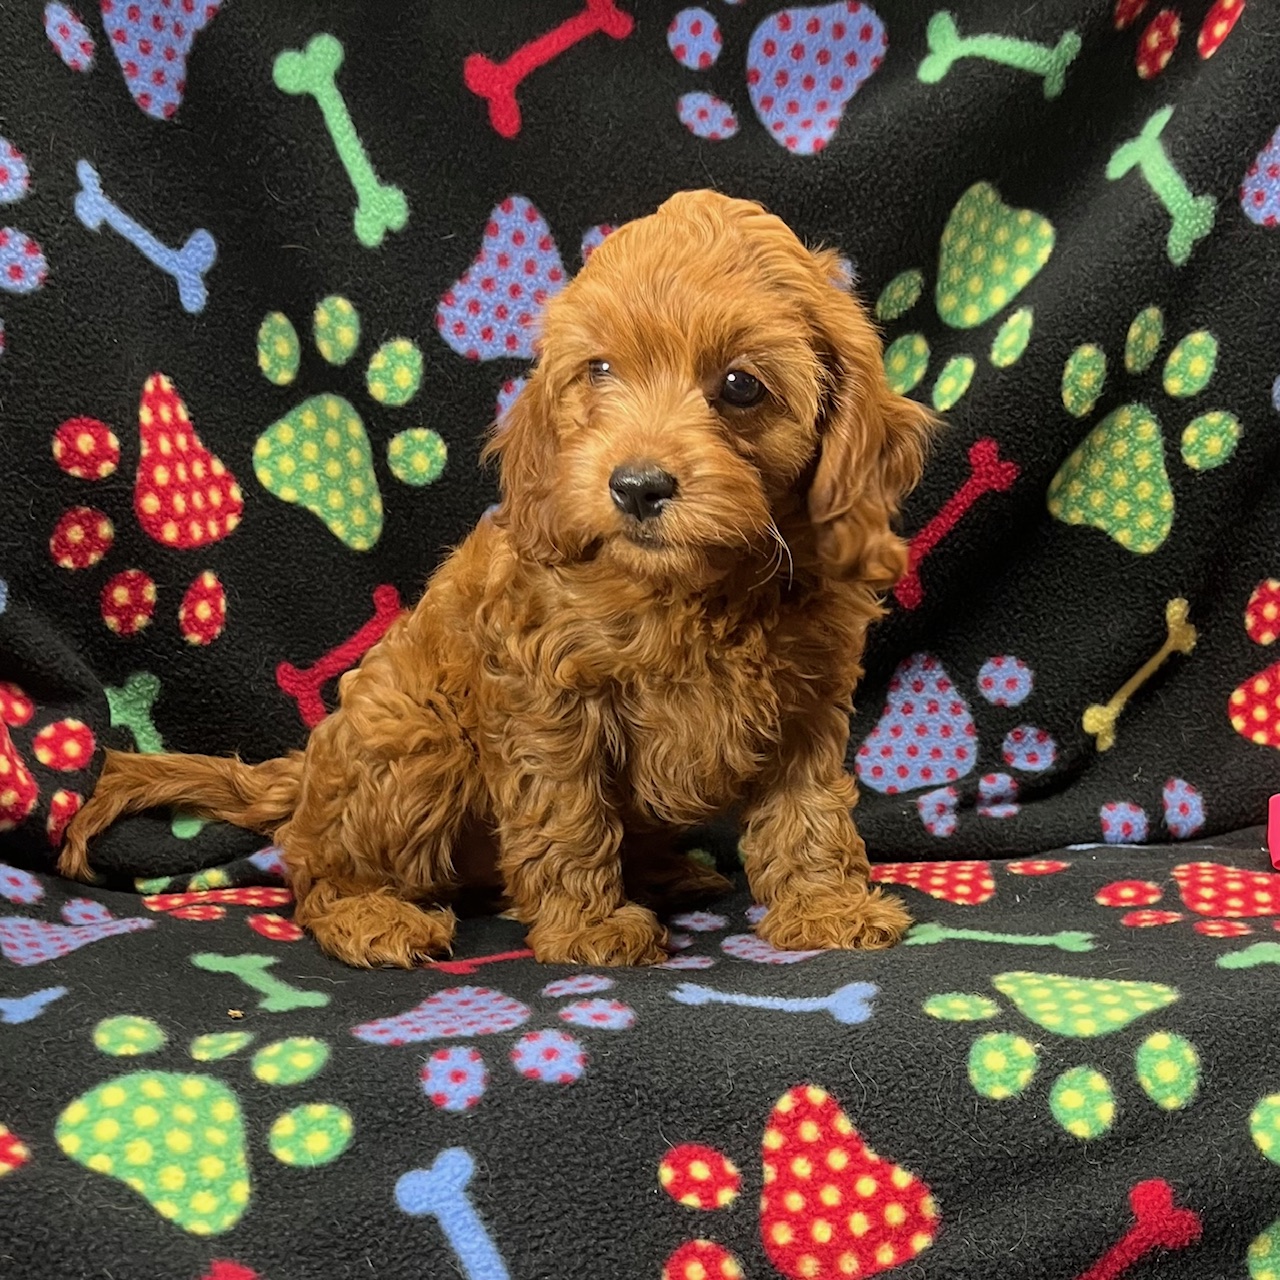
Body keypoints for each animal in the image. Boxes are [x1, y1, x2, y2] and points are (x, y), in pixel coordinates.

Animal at [57, 189, 942, 962]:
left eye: (740, 386)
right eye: (600, 371)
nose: (637, 486)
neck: (695, 588)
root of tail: (306, 776)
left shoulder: (806, 703)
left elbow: (807, 811)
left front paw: (823, 907)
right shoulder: (548, 700)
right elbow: (568, 816)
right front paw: (588, 929)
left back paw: (669, 874)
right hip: (420, 742)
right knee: (312, 874)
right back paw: (370, 916)